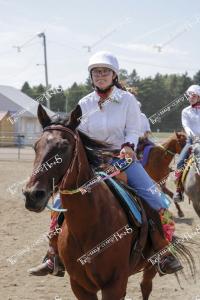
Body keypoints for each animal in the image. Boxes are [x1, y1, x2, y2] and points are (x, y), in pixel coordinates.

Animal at [23, 105, 194, 300]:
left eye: (64, 146)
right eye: (36, 146)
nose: (32, 194)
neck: (89, 224)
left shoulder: (114, 284)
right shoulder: (80, 286)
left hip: (151, 265)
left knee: (146, 286)